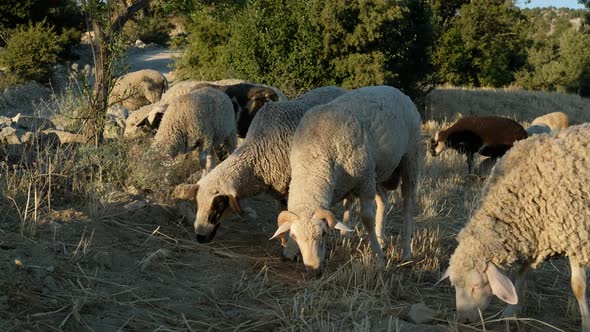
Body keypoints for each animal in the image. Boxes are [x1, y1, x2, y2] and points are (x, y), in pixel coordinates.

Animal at [270, 85, 424, 270]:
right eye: (294, 236)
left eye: (324, 234)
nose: (314, 268)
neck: (314, 156)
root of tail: (395, 90)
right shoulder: (360, 178)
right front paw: (290, 251)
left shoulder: (364, 179)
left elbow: (367, 218)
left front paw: (378, 257)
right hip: (377, 171)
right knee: (384, 201)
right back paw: (382, 239)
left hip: (410, 158)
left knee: (408, 203)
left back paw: (406, 253)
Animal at [440, 123, 590, 330]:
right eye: (454, 286)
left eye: (475, 286)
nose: (463, 321)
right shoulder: (534, 236)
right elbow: (521, 273)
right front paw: (510, 313)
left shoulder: (574, 234)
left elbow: (578, 287)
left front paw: (586, 323)